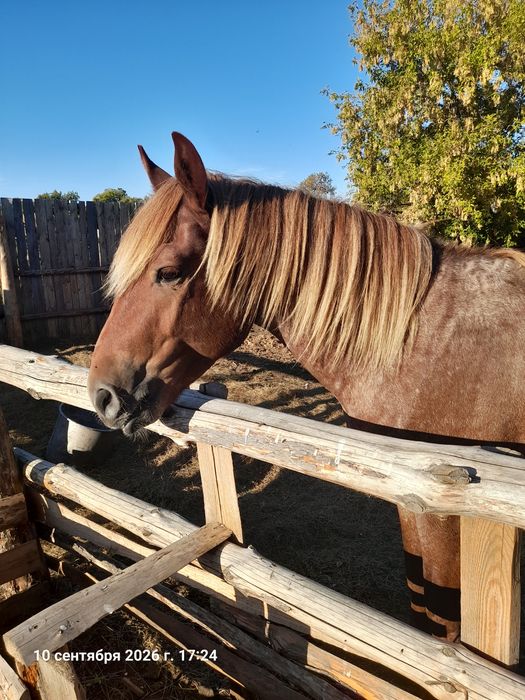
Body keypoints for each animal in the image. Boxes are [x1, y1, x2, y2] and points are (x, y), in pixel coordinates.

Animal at [88, 131, 525, 643]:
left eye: (170, 272)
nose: (101, 395)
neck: (416, 340)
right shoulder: (412, 506)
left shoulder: (442, 514)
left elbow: (441, 626)